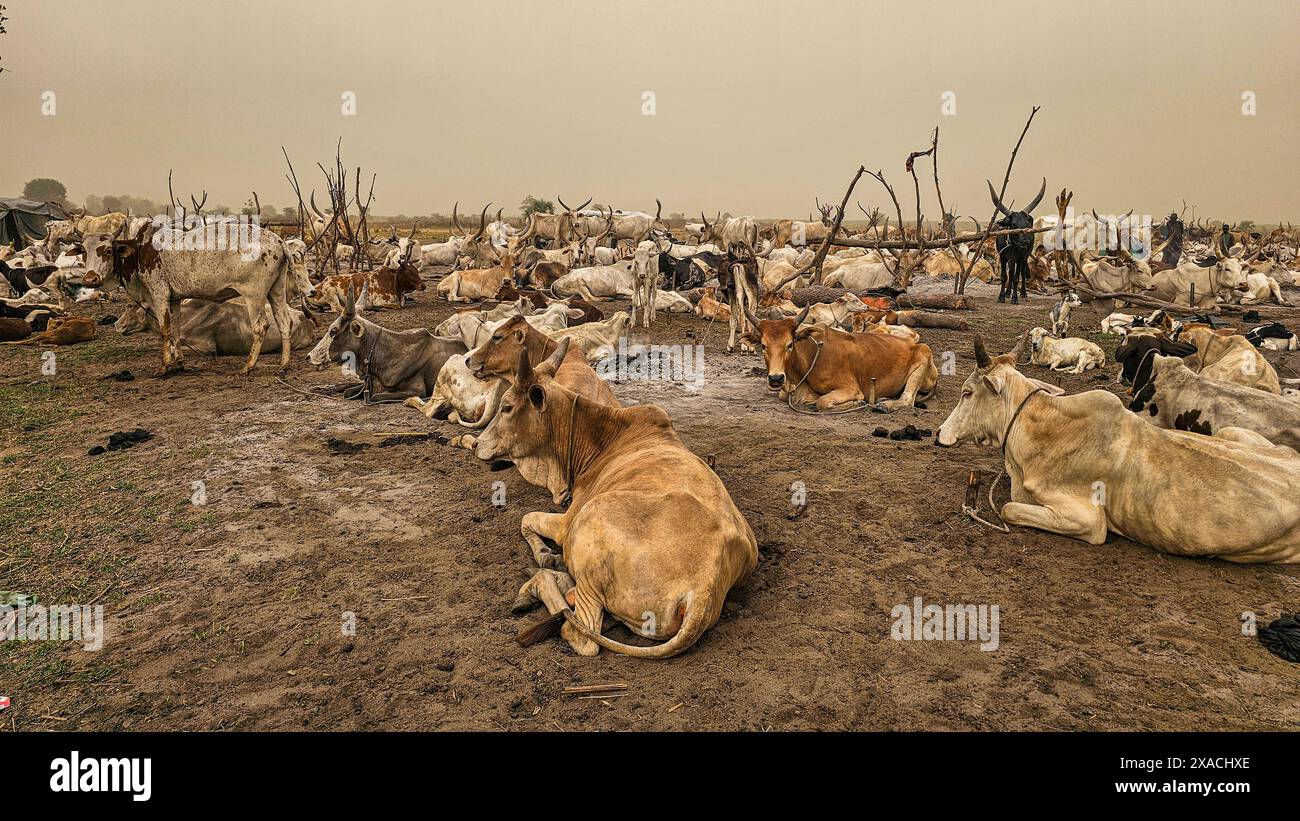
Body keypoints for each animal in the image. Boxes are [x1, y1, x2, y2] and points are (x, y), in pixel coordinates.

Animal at [473, 345, 759, 654]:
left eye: (507, 407)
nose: (477, 443)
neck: (601, 439)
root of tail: (703, 588)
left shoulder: (567, 523)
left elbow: (525, 520)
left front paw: (543, 553)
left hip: (588, 523)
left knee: (579, 633)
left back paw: (539, 581)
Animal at [743, 305, 935, 410]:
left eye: (790, 344)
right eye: (763, 346)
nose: (775, 378)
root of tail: (914, 343)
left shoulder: (850, 388)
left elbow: (822, 402)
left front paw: (858, 403)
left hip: (922, 357)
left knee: (907, 399)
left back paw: (884, 405)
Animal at [987, 176, 1050, 305]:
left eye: (1027, 224)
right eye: (1014, 224)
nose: (1025, 242)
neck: (1014, 245)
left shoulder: (1021, 257)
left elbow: (1016, 278)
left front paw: (1015, 298)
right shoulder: (1003, 257)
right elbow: (1005, 276)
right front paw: (1002, 296)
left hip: (1023, 259)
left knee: (1021, 273)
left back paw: (1023, 293)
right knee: (1010, 273)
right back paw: (1007, 293)